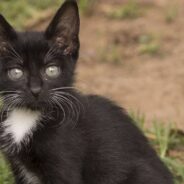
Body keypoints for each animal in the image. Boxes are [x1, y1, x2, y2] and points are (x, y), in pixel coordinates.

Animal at [0, 0, 173, 183]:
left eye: (51, 70)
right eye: (16, 72)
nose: (35, 90)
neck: (27, 116)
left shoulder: (65, 165)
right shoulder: (18, 170)